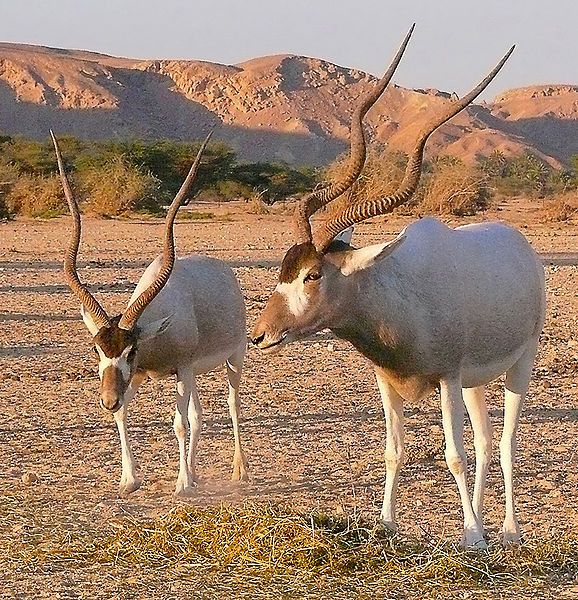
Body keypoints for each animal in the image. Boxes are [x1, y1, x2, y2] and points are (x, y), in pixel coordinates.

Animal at [54, 132, 250, 496]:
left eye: (131, 350)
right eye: (97, 350)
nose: (107, 400)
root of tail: (223, 269)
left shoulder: (179, 368)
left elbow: (179, 423)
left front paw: (182, 484)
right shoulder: (142, 375)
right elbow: (127, 415)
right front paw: (129, 480)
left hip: (233, 357)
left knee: (231, 404)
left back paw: (239, 470)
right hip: (193, 372)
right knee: (198, 414)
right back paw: (197, 471)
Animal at [250, 30, 544, 552]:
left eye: (313, 275)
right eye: (285, 269)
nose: (261, 335)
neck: (400, 297)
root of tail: (520, 245)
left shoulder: (447, 377)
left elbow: (452, 454)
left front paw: (472, 534)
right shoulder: (388, 380)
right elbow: (395, 449)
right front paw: (387, 524)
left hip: (519, 363)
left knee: (507, 443)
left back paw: (505, 531)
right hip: (475, 382)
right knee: (486, 441)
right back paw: (484, 526)